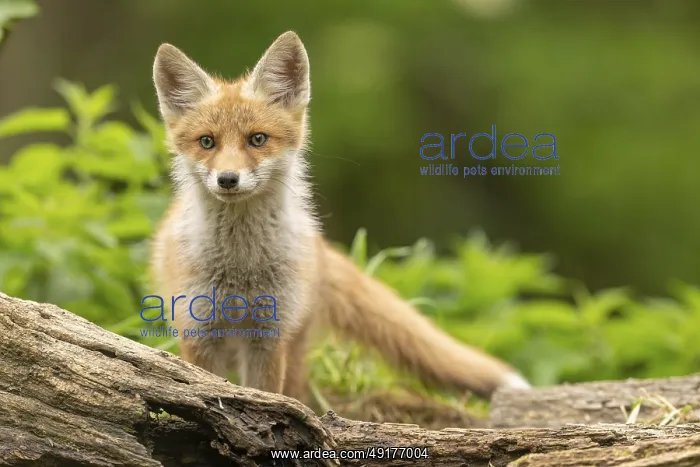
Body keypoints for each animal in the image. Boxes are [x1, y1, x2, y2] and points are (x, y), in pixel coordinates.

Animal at [149, 31, 530, 402]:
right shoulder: (199, 332)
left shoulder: (269, 336)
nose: (228, 179)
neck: (240, 267)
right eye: (207, 142)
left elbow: (264, 394)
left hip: (293, 345)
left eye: (257, 139)